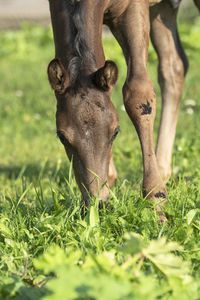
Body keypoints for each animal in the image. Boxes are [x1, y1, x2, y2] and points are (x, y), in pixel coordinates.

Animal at [48, 0, 200, 216]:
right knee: (173, 66)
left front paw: (156, 200)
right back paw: (164, 171)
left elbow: (138, 93)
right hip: (162, 9)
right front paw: (109, 182)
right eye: (61, 136)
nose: (98, 205)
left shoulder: (133, 9)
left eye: (116, 132)